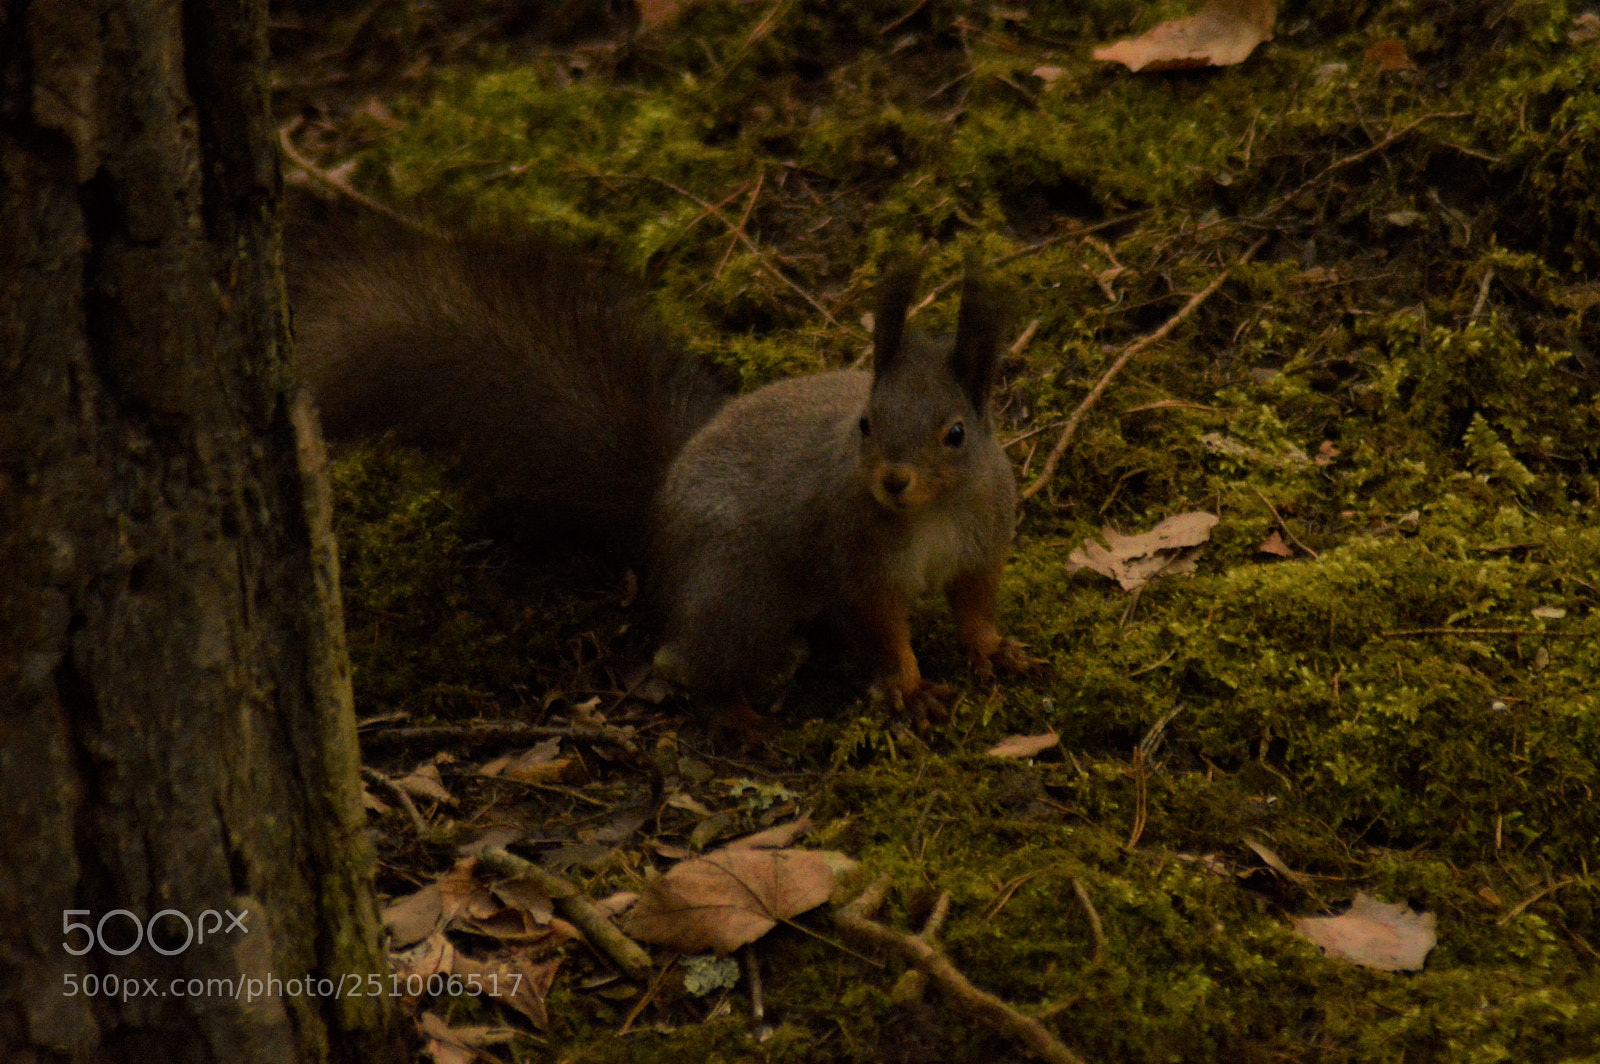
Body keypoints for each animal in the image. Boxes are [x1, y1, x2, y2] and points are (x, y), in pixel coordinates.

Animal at [292, 226, 1025, 726]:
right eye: (867, 424)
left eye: (956, 434)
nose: (893, 481)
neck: (930, 514)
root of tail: (658, 501)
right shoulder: (857, 560)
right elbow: (882, 629)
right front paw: (909, 688)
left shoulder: (983, 543)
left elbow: (975, 604)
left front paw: (995, 649)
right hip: (738, 589)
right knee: (689, 658)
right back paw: (741, 713)